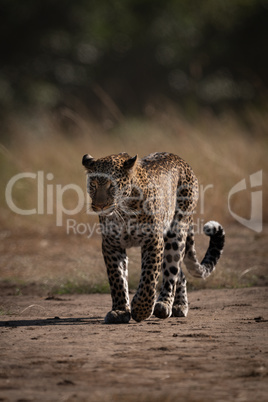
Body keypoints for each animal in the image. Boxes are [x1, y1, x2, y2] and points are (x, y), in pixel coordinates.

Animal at [81, 152, 224, 324]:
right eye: (93, 185)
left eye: (112, 186)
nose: (100, 206)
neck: (124, 211)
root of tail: (179, 159)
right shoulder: (111, 244)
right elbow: (117, 279)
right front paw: (120, 311)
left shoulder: (153, 240)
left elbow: (149, 276)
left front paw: (141, 309)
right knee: (180, 274)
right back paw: (178, 305)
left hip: (176, 232)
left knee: (172, 271)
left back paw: (166, 305)